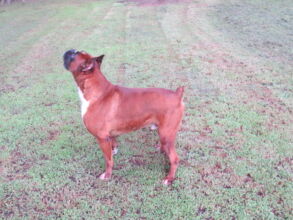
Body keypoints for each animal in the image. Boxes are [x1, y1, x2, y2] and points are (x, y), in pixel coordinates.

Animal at [63, 49, 184, 184]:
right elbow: (112, 145)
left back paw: (169, 179)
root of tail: (177, 94)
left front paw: (107, 175)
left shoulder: (101, 138)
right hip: (164, 133)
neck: (97, 91)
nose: (69, 50)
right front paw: (114, 150)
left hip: (166, 134)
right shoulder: (108, 136)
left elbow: (108, 160)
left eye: (73, 56)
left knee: (174, 159)